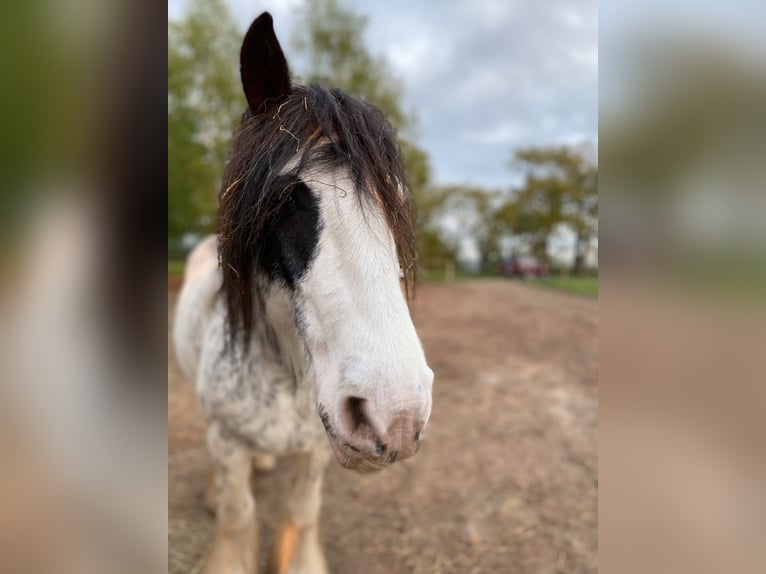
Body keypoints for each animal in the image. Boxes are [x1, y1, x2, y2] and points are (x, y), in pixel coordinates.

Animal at [176, 13, 438, 574]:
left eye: (395, 199)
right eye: (284, 198)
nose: (397, 415)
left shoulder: (317, 448)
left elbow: (302, 512)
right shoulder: (226, 440)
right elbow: (237, 516)